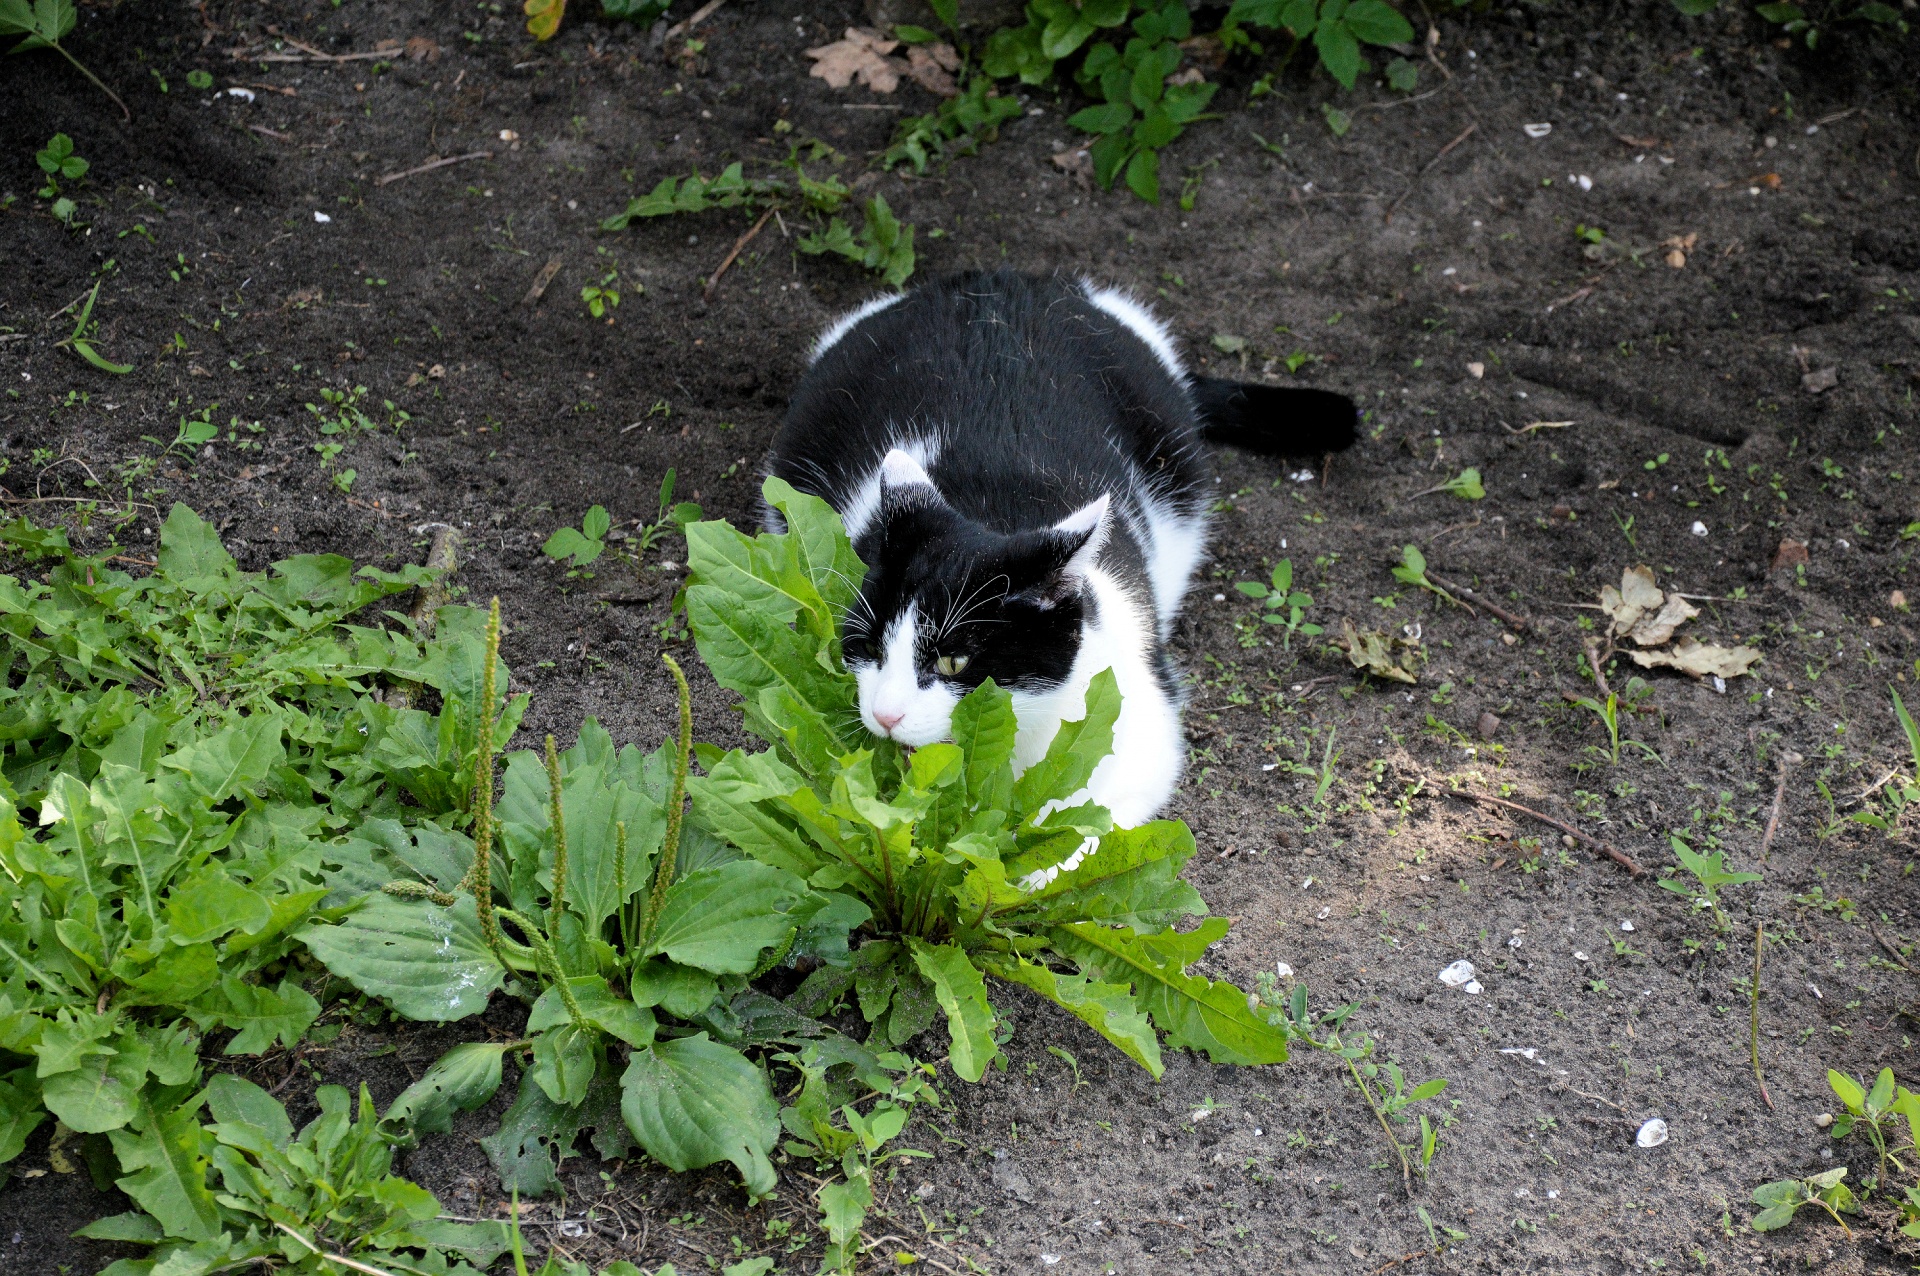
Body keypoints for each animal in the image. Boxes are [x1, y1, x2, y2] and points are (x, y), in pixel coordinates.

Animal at [756, 270, 1359, 825]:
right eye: (871, 646)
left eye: (955, 662)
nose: (885, 715)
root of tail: (1002, 279)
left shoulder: (1144, 734)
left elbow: (1076, 830)